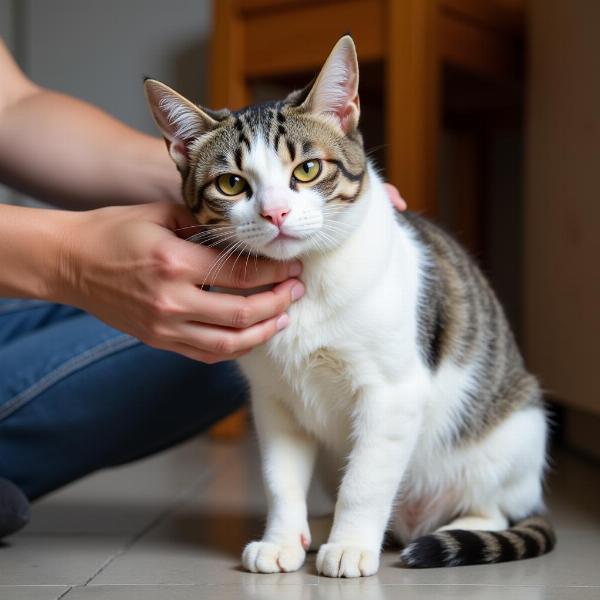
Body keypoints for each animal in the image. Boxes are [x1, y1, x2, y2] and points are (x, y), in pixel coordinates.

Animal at [144, 35, 552, 580]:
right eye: (231, 184)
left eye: (307, 169)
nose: (275, 212)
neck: (308, 284)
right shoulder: (272, 399)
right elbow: (280, 479)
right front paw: (282, 540)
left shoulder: (392, 394)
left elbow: (364, 481)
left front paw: (351, 545)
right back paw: (318, 527)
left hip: (513, 436)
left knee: (492, 511)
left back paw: (444, 528)